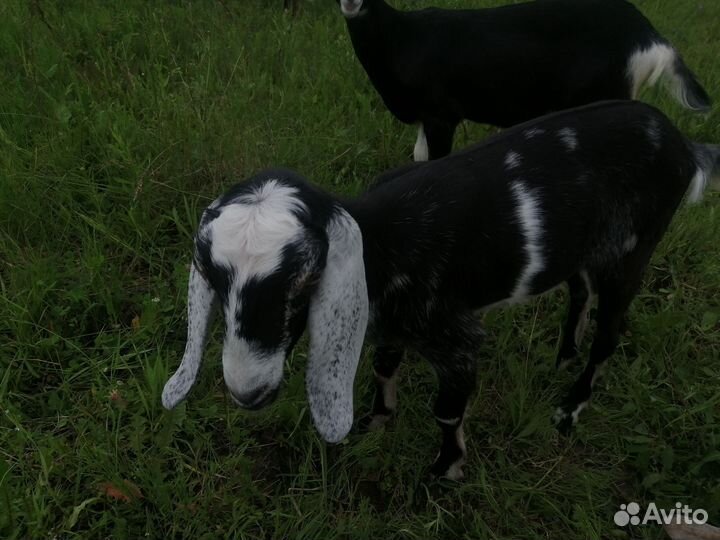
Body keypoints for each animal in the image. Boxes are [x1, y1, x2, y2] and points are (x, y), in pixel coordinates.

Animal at [162, 101, 718, 479]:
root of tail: (681, 141)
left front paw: (445, 469)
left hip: (635, 248)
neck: (384, 246)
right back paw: (563, 356)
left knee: (611, 331)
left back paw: (569, 407)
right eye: (211, 275)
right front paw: (376, 422)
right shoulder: (389, 323)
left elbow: (446, 410)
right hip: (584, 247)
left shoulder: (457, 340)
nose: (248, 393)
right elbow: (384, 366)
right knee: (579, 291)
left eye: (304, 279)